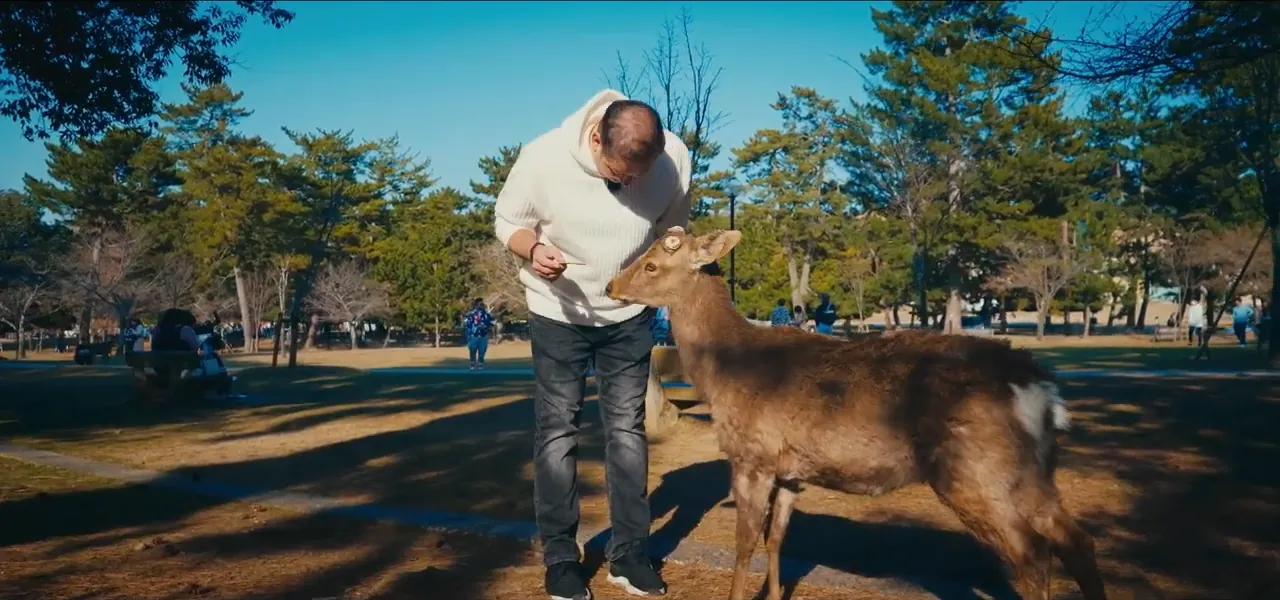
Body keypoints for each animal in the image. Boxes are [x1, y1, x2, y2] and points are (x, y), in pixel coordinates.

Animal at [604, 228, 1107, 600]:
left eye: (651, 264)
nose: (610, 286)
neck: (721, 372)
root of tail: (1040, 389)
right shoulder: (791, 471)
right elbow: (776, 538)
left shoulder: (752, 455)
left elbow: (744, 543)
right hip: (1031, 472)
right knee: (1077, 539)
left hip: (976, 473)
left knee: (1033, 557)